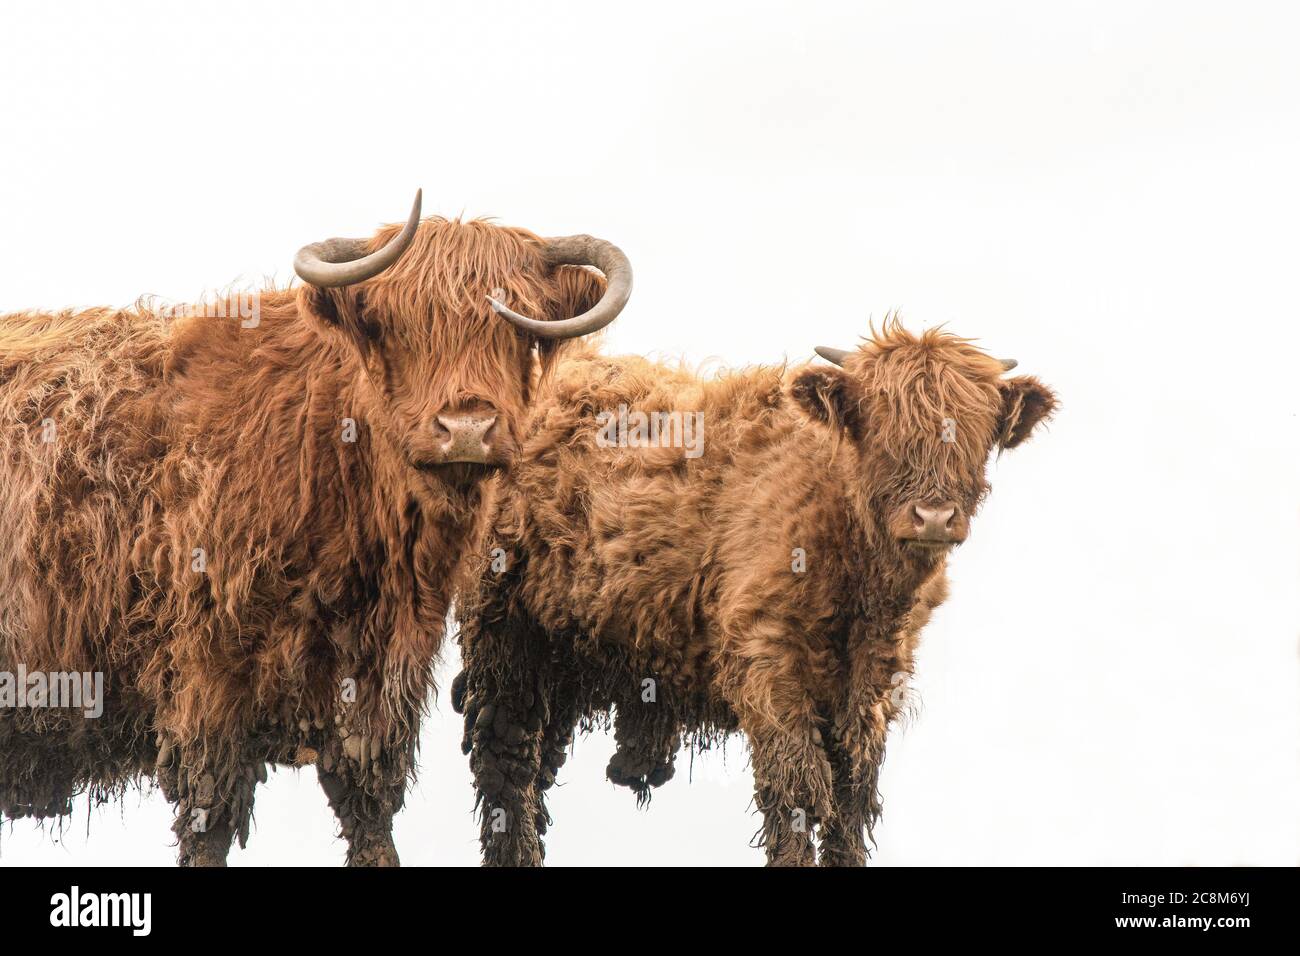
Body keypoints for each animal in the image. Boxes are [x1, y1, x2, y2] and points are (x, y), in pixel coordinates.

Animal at [0, 188, 634, 868]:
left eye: (519, 327)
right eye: (393, 325)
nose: (466, 428)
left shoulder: (378, 684)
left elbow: (370, 808)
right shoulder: (205, 679)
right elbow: (208, 818)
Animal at [454, 323, 1055, 868]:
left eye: (977, 431)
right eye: (880, 426)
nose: (933, 516)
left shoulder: (873, 687)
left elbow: (850, 802)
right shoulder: (767, 659)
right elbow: (797, 791)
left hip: (562, 658)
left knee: (536, 766)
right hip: (503, 633)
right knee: (506, 764)